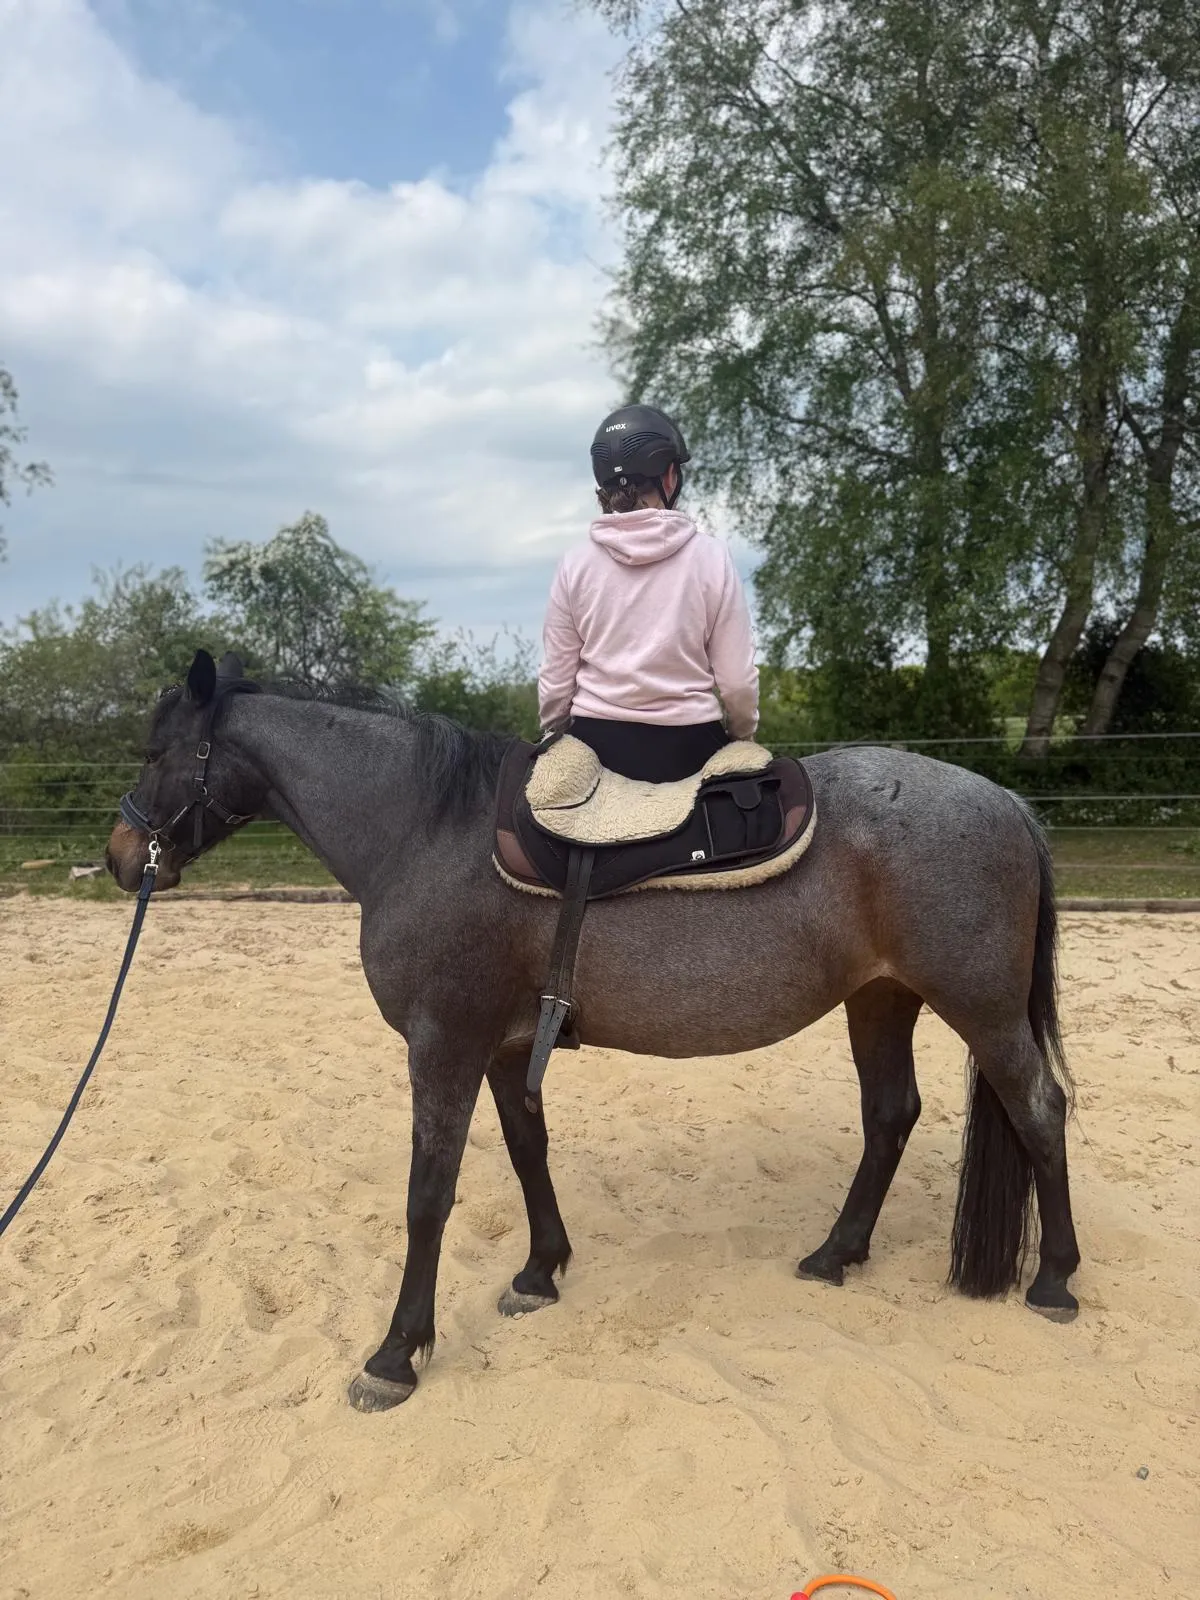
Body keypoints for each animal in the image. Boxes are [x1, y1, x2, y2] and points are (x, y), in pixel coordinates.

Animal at [106, 650, 1080, 1413]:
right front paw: (540, 1273)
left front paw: (395, 1355)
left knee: (1039, 1109)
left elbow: (428, 1196)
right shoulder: (503, 1046)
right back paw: (835, 1254)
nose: (120, 857)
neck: (428, 831)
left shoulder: (444, 1045)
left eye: (156, 752)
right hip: (881, 998)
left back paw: (1055, 1279)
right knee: (891, 1114)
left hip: (979, 1008)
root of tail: (1007, 802)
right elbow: (527, 1150)